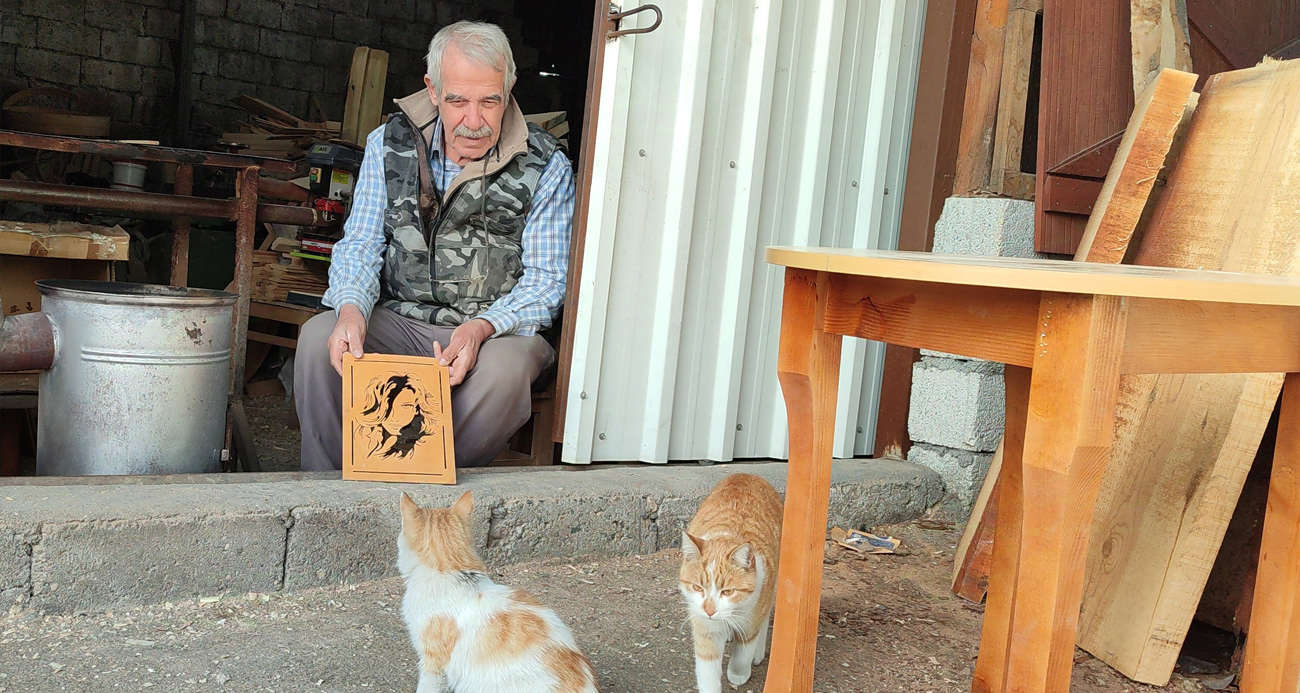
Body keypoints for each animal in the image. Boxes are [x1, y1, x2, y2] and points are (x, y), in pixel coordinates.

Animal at [681, 473, 780, 691]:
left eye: (727, 592)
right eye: (698, 587)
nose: (710, 611)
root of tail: (747, 474)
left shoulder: (752, 619)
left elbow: (743, 654)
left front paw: (738, 674)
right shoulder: (704, 629)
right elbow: (707, 672)